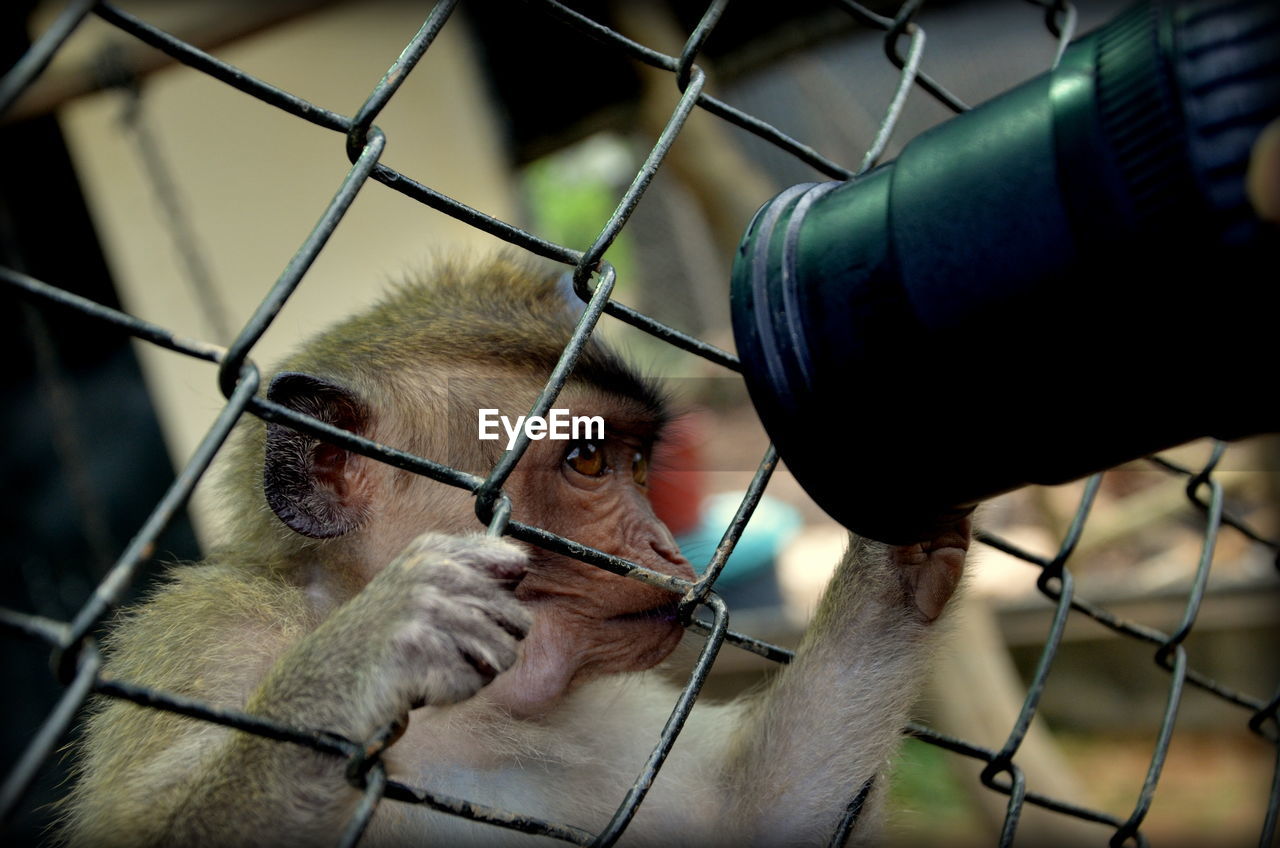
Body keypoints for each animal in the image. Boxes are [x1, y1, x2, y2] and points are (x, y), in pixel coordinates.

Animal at [55, 256, 962, 845]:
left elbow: (758, 815)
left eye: (638, 464)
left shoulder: (589, 721)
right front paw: (374, 647)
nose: (668, 546)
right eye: (590, 461)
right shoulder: (211, 634)